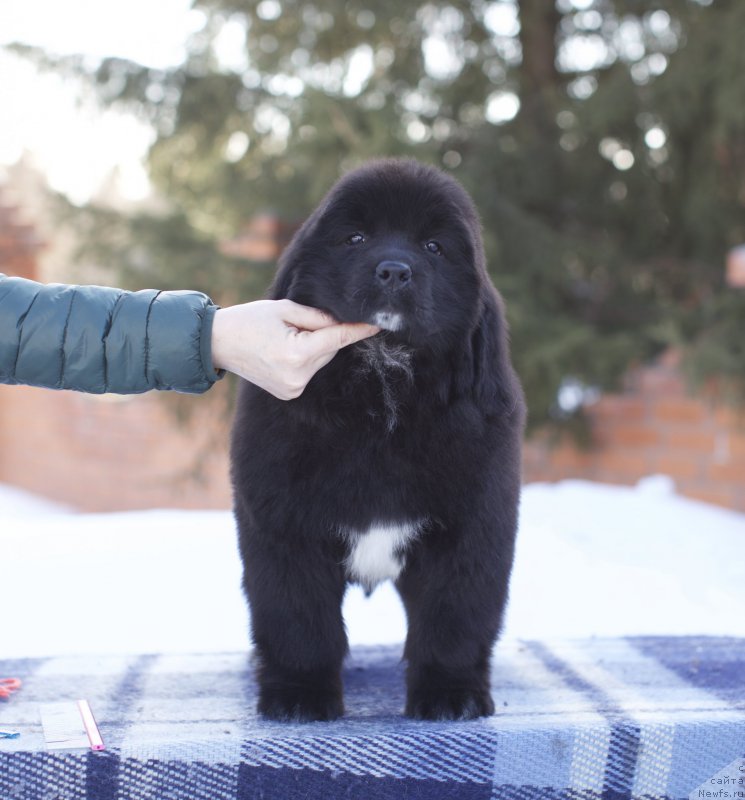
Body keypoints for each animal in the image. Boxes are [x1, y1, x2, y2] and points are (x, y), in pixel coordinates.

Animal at [230, 159, 528, 720]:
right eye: (356, 238)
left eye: (434, 246)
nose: (393, 270)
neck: (384, 381)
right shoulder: (285, 529)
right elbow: (299, 622)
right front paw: (299, 696)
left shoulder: (473, 530)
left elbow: (453, 621)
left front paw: (451, 695)